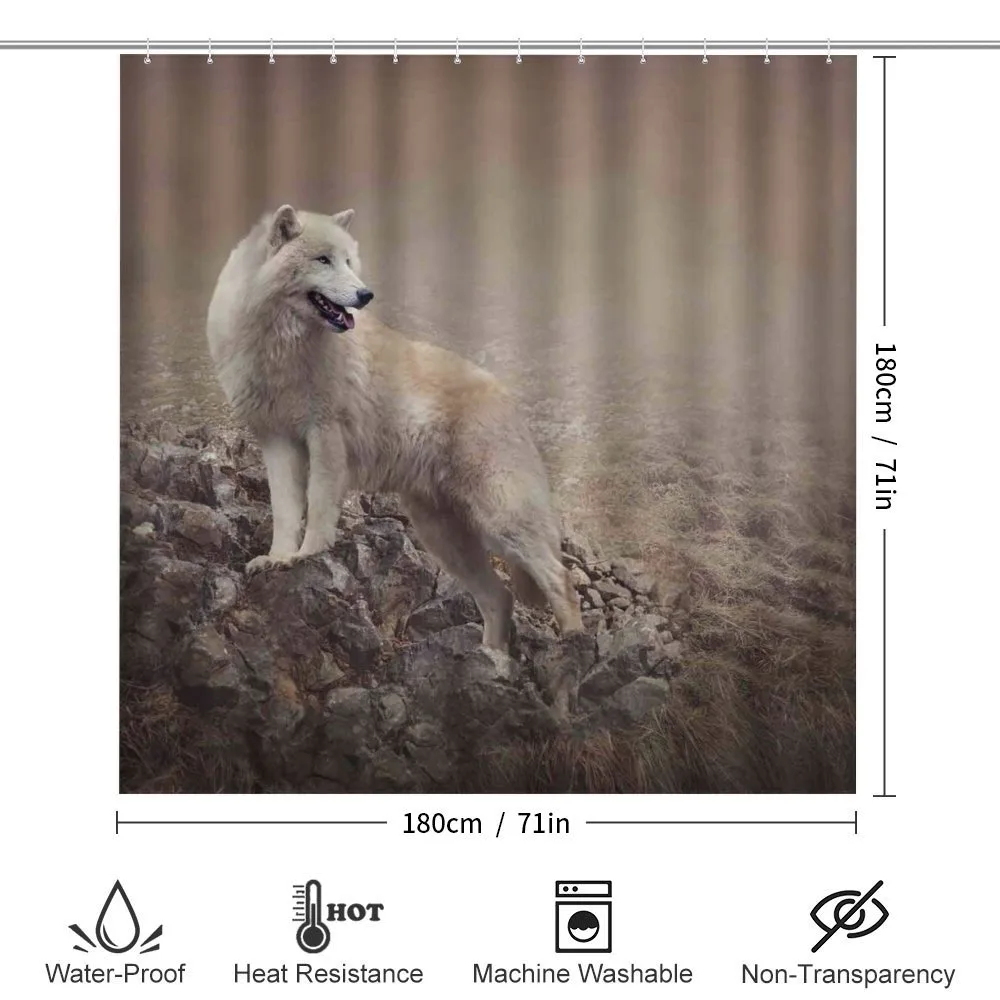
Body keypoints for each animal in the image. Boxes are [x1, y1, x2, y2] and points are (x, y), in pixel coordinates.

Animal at [206, 205, 582, 651]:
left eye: (349, 261)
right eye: (323, 260)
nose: (366, 295)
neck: (282, 346)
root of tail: (508, 397)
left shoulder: (325, 436)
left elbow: (317, 507)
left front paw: (308, 555)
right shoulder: (277, 442)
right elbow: (284, 511)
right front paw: (279, 558)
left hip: (500, 520)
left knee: (560, 579)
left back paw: (574, 645)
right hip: (444, 537)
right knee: (500, 598)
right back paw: (492, 660)